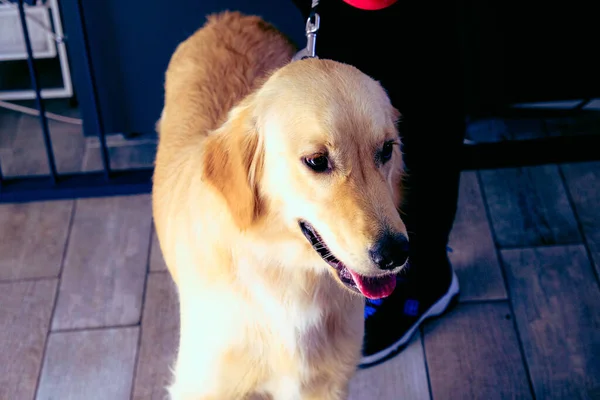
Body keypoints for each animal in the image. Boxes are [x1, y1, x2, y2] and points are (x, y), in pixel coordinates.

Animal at [152, 10, 410, 398]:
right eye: (317, 161)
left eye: (386, 149)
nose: (395, 253)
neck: (285, 277)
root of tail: (228, 16)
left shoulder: (325, 383)